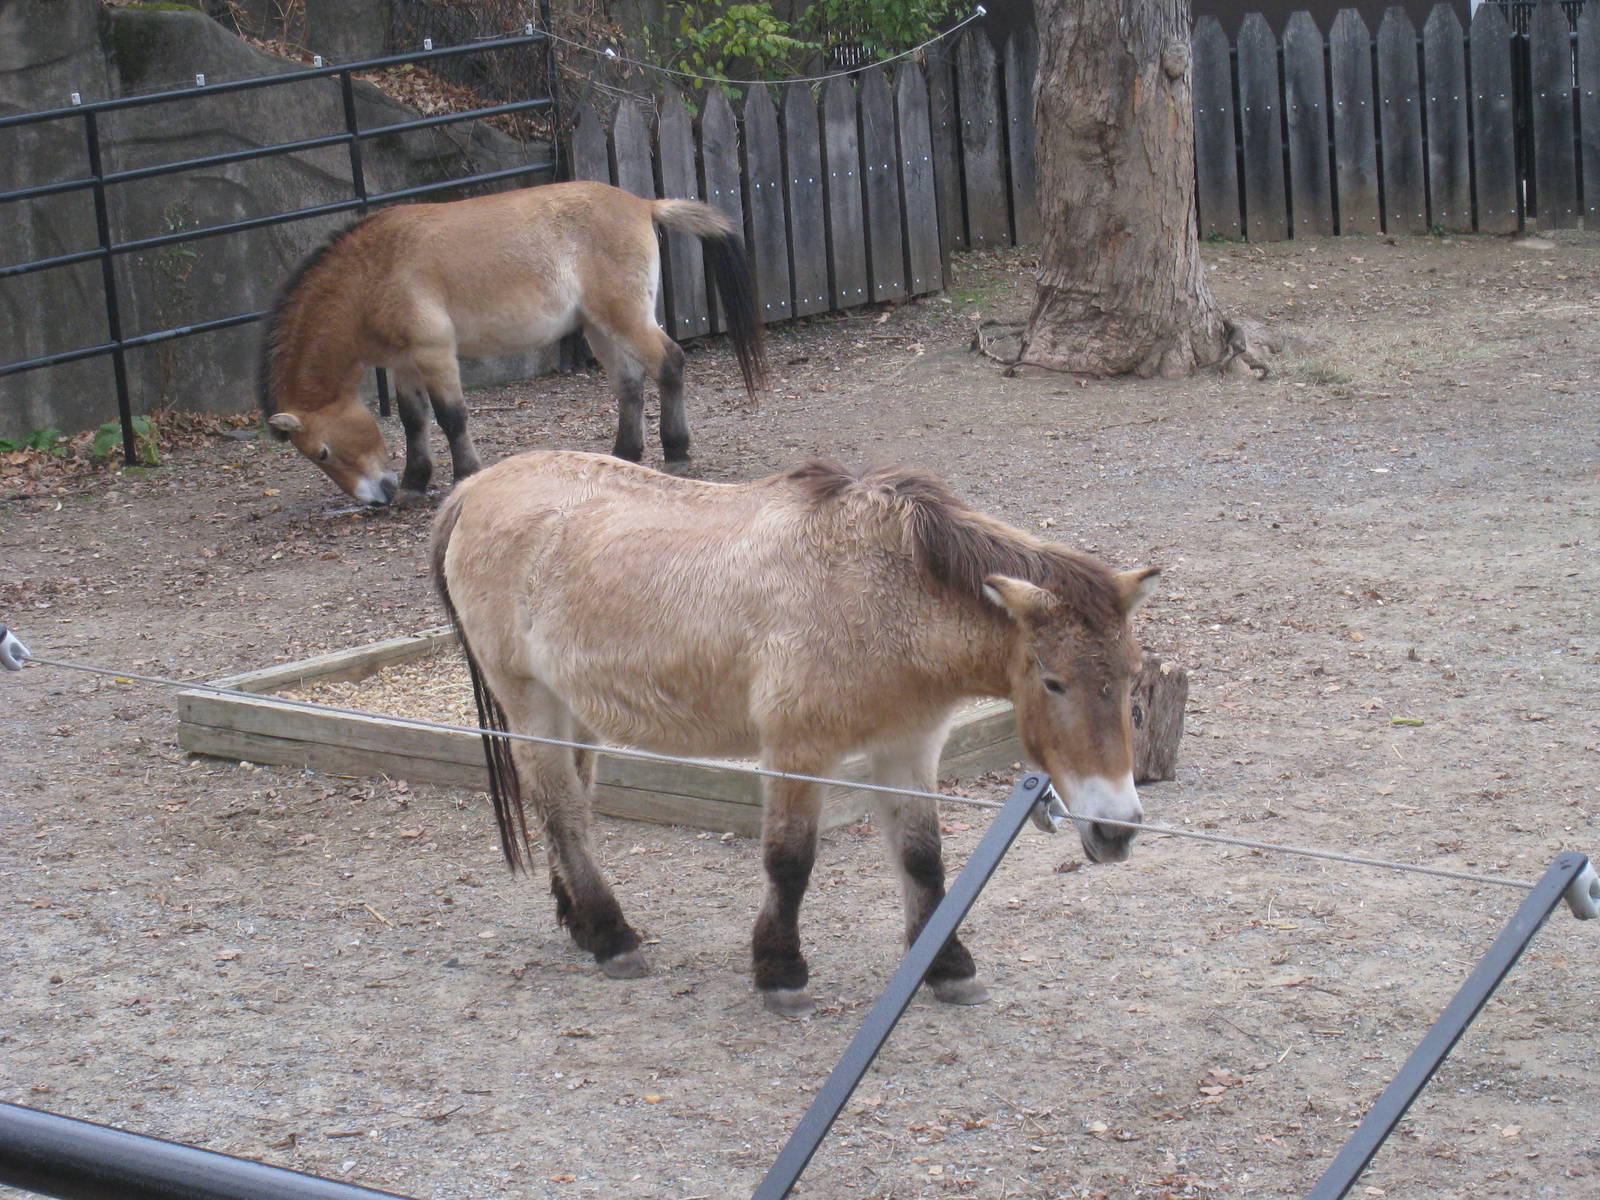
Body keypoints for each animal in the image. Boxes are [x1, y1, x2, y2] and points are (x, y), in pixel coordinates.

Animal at [258, 180, 767, 505]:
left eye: (322, 452)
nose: (375, 498)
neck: (375, 271)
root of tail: (642, 203)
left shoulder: (433, 353)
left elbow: (451, 416)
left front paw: (464, 476)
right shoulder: (403, 363)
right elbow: (413, 420)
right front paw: (412, 484)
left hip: (624, 317)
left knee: (669, 363)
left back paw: (677, 453)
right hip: (598, 326)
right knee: (629, 383)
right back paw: (623, 455)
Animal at [430, 450, 1159, 1017]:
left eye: (1130, 675)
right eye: (1054, 682)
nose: (1116, 828)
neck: (882, 591)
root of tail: (476, 487)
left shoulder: (908, 747)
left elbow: (922, 858)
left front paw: (948, 965)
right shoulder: (797, 750)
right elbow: (789, 861)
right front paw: (780, 973)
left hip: (573, 707)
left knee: (571, 805)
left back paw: (579, 922)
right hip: (530, 701)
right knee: (558, 806)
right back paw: (612, 937)